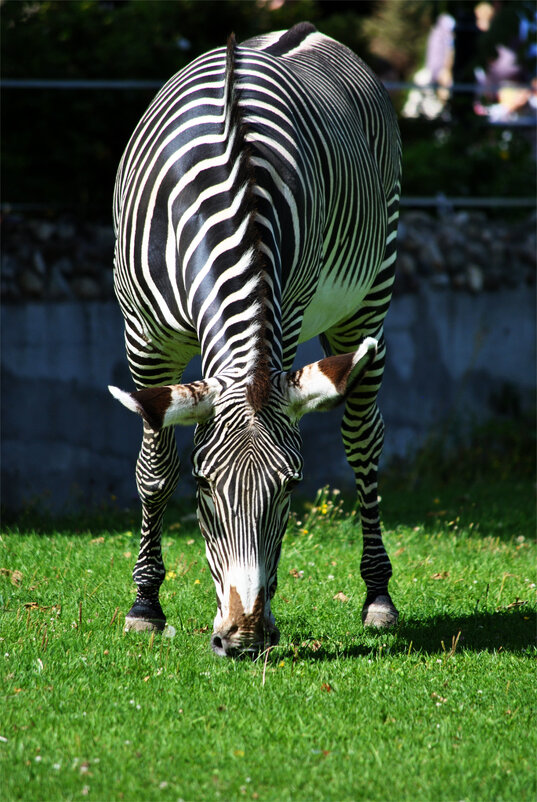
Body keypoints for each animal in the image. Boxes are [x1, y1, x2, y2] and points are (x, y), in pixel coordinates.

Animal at [109, 21, 400, 652]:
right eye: (202, 485)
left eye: (291, 487)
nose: (242, 637)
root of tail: (301, 29)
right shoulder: (145, 337)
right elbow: (153, 469)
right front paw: (145, 605)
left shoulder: (287, 311)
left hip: (368, 302)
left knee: (364, 441)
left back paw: (378, 596)